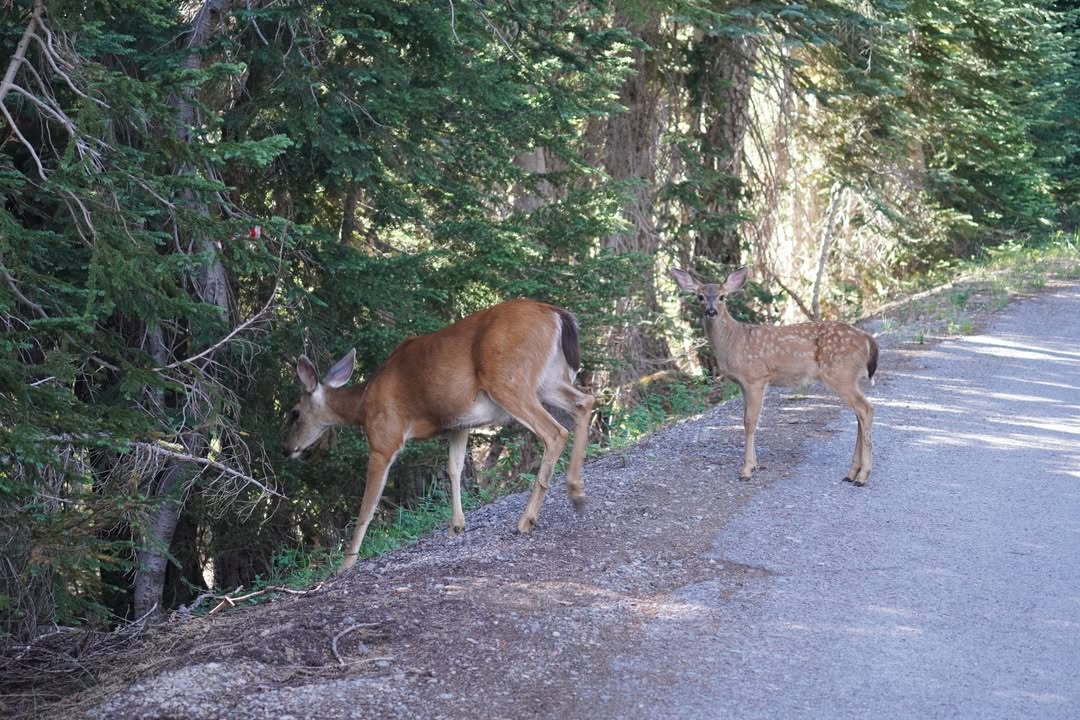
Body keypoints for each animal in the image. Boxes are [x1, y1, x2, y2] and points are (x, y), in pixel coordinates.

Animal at [283, 299, 595, 570]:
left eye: (294, 413)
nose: (289, 449)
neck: (363, 403)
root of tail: (557, 314)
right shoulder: (459, 424)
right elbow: (453, 468)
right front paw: (456, 525)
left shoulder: (384, 438)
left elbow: (367, 505)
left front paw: (345, 564)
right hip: (548, 381)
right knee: (585, 402)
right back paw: (576, 493)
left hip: (509, 380)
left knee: (555, 431)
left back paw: (527, 519)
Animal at [672, 266, 878, 485]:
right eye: (700, 296)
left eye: (722, 296)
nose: (711, 311)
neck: (733, 342)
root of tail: (867, 339)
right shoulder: (743, 384)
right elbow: (746, 420)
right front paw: (753, 465)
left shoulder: (756, 377)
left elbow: (750, 422)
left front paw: (747, 470)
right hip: (847, 376)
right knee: (859, 413)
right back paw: (852, 473)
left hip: (840, 374)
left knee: (866, 409)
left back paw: (862, 476)